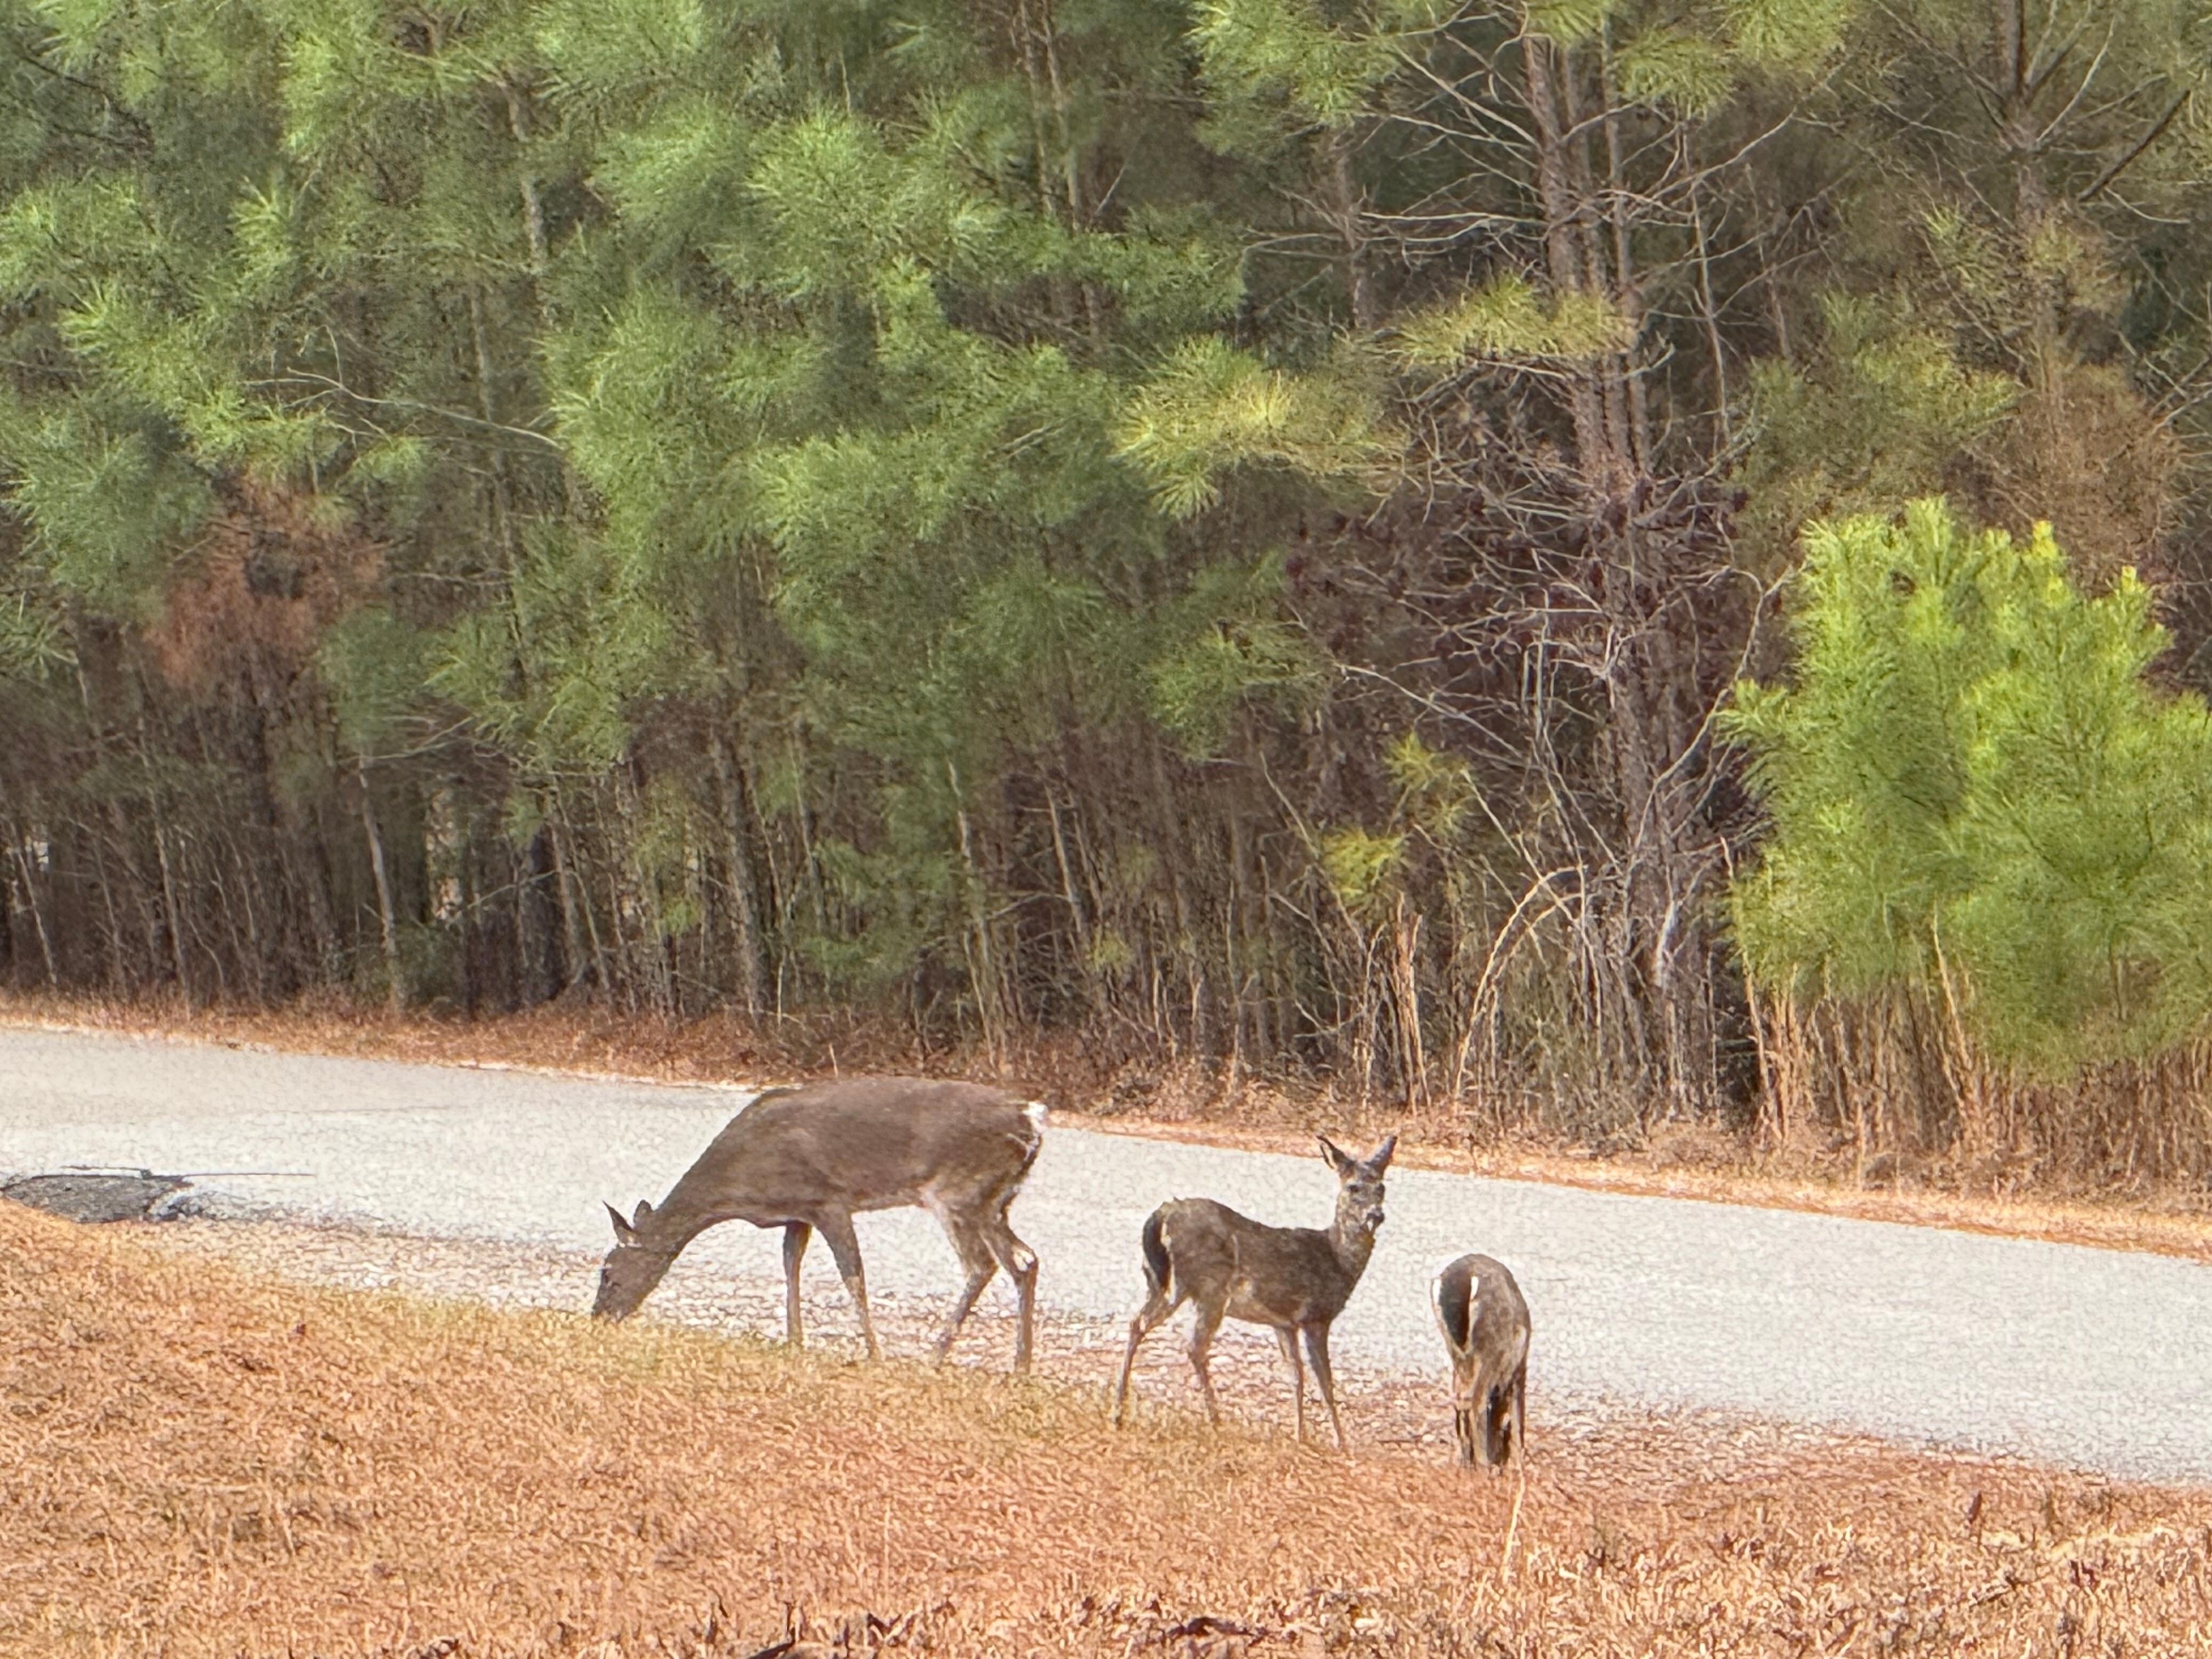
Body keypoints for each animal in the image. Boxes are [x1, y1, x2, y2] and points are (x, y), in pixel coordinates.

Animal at [592, 1076, 1048, 1371]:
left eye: (608, 1272)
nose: (598, 1318)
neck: (740, 1185)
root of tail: (1032, 1119)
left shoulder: (828, 1198)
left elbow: (853, 1275)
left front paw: (874, 1354)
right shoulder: (798, 1212)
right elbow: (790, 1265)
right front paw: (795, 1341)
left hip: (958, 1192)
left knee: (982, 1265)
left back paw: (934, 1357)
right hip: (995, 1201)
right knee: (1025, 1260)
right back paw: (1021, 1367)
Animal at [1110, 1133, 1396, 1451]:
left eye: (1382, 1187)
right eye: (1353, 1187)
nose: (1376, 1215)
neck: (1338, 1260)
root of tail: (1159, 1216)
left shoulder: (1284, 1323)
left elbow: (1296, 1375)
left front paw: (1299, 1436)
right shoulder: (1316, 1317)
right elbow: (1325, 1381)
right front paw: (1340, 1443)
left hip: (1160, 1282)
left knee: (1138, 1323)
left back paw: (1119, 1413)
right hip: (1208, 1286)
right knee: (1194, 1345)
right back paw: (1216, 1420)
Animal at [1430, 1252, 1529, 1470]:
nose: (1499, 1459)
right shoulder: (1518, 1366)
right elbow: (1518, 1417)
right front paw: (1518, 1466)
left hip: (1456, 1352)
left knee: (1461, 1398)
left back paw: (1467, 1463)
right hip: (1491, 1348)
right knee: (1477, 1401)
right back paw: (1484, 1466)